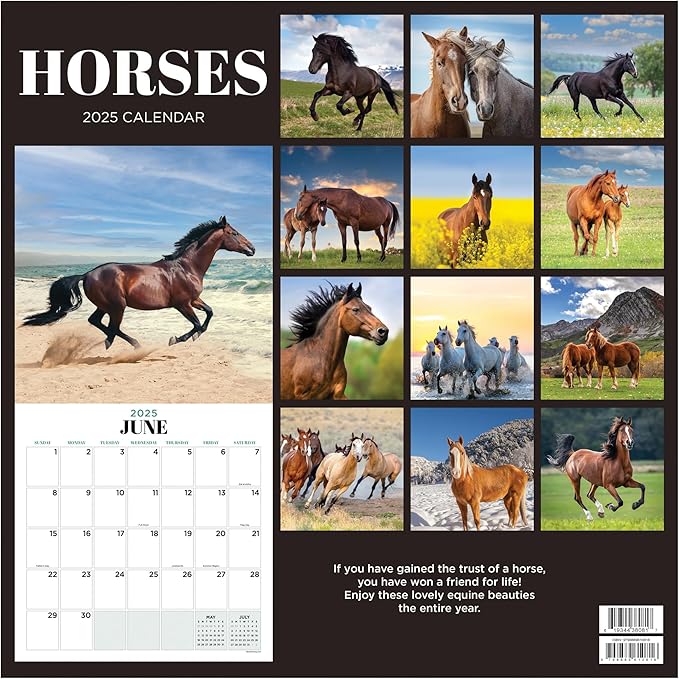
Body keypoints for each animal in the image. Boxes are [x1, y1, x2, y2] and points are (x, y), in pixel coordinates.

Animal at [22, 216, 255, 348]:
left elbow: (209, 314)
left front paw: (190, 337)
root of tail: (87, 274)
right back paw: (126, 344)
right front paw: (177, 339)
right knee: (111, 327)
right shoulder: (182, 304)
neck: (187, 267)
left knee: (98, 322)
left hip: (106, 306)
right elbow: (197, 324)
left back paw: (124, 343)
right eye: (234, 233)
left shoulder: (194, 300)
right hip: (117, 306)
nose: (252, 248)